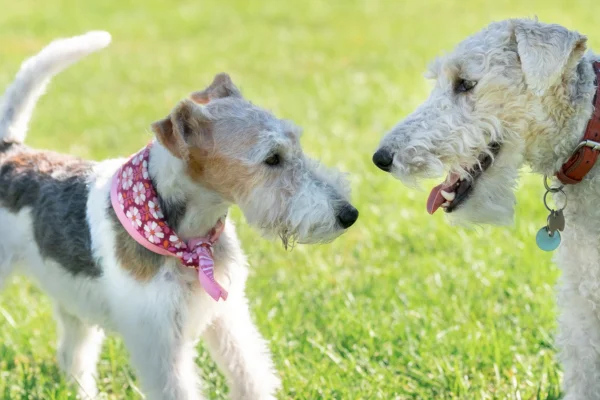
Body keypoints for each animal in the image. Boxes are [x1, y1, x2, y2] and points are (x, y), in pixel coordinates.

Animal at [0, 32, 356, 400]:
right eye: (272, 158)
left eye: (296, 143)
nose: (348, 214)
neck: (189, 238)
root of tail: (10, 150)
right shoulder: (159, 337)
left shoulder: (227, 314)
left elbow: (249, 372)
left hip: (73, 300)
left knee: (74, 356)